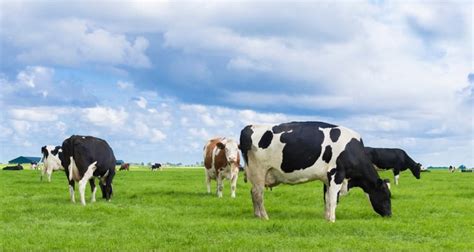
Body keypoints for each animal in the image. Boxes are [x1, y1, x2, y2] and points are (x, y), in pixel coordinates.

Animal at [239, 121, 390, 221]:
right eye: (386, 195)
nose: (390, 214)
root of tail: (249, 126)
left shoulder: (327, 178)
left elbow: (327, 198)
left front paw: (327, 217)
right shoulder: (337, 174)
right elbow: (333, 199)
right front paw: (332, 220)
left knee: (253, 192)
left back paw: (257, 215)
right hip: (259, 170)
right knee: (258, 194)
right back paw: (264, 216)